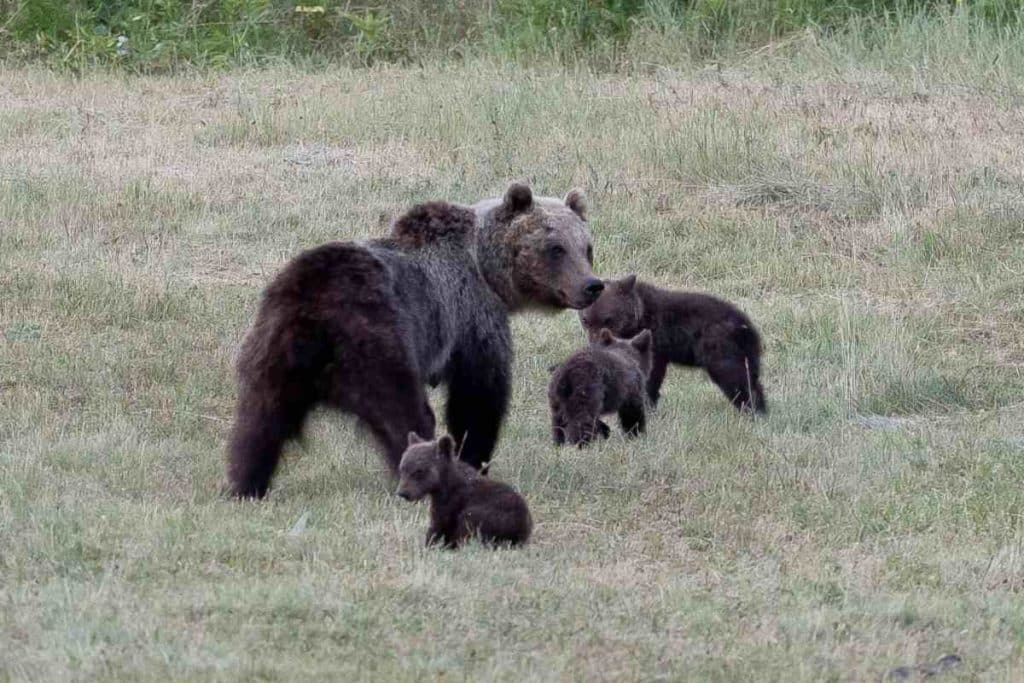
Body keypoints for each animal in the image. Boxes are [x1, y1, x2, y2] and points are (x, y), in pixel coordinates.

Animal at [226, 183, 603, 498]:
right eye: (555, 248)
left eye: (586, 247)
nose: (592, 286)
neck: (486, 268)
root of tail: (313, 311)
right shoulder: (471, 314)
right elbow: (478, 396)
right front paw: (474, 459)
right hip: (377, 340)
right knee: (403, 414)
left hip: (273, 349)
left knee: (258, 422)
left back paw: (246, 483)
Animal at [396, 432, 532, 548]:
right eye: (402, 468)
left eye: (419, 471)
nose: (402, 493)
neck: (442, 485)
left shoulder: (450, 503)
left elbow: (438, 525)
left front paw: (428, 545)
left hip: (490, 516)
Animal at [578, 274, 767, 413]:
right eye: (586, 321)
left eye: (608, 320)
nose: (594, 345)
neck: (640, 319)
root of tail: (747, 327)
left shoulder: (656, 344)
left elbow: (650, 375)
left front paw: (646, 405)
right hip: (745, 353)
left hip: (721, 350)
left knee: (737, 380)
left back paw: (751, 411)